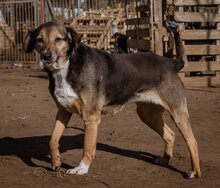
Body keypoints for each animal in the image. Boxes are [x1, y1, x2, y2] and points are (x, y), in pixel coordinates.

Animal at [22, 22, 201, 178]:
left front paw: (81, 168)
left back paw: (194, 172)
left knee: (192, 142)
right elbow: (52, 140)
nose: (46, 56)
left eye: (58, 39)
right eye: (39, 40)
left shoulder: (91, 118)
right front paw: (56, 162)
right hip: (147, 115)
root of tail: (171, 62)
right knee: (170, 135)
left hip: (178, 113)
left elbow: (87, 148)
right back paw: (164, 160)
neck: (66, 66)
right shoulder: (63, 111)